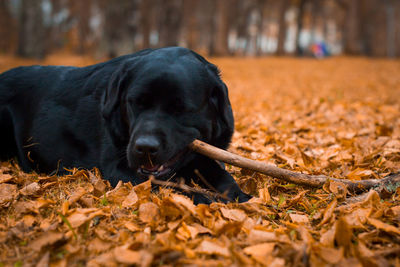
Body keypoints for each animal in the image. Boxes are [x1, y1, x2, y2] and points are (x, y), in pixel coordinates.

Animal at [0, 47, 250, 204]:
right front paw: (203, 197)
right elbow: (169, 185)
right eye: (136, 102)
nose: (145, 147)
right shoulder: (118, 167)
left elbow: (224, 177)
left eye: (180, 109)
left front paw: (245, 198)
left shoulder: (204, 157)